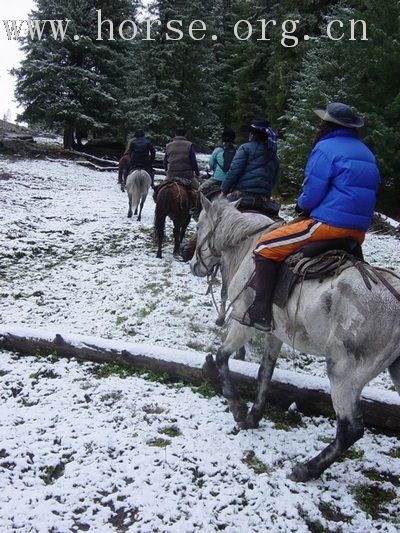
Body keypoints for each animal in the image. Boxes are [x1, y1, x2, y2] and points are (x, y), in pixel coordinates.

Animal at [191, 195, 400, 482]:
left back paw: (307, 469)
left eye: (200, 225)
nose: (194, 266)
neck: (248, 246)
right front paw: (254, 416)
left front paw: (237, 408)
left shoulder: (242, 322)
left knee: (350, 429)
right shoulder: (274, 333)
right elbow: (265, 372)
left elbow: (222, 357)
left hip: (343, 374)